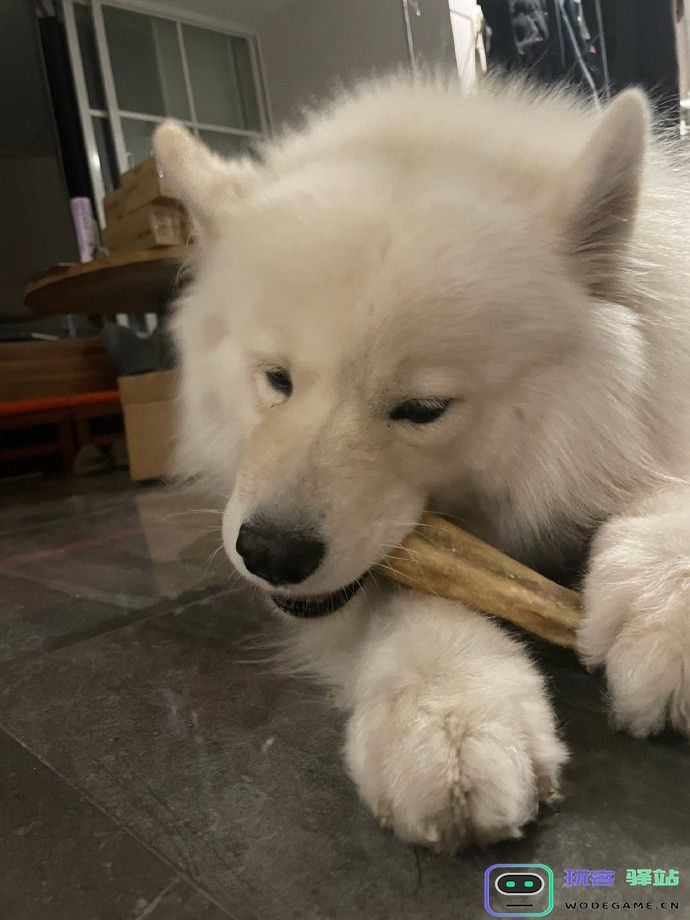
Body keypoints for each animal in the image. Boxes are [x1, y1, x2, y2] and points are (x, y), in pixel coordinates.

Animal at [153, 75, 690, 852]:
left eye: (422, 408)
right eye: (277, 379)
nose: (270, 553)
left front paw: (664, 610)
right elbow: (415, 599)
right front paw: (450, 713)